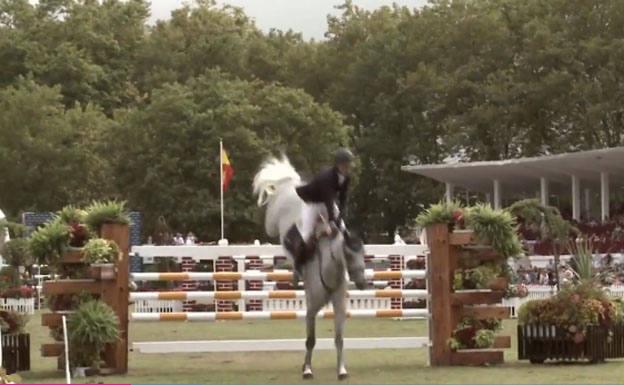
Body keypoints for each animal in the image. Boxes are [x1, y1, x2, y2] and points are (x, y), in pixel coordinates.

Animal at [254, 155, 368, 378]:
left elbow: (339, 338)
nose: (362, 283)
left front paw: (341, 370)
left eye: (363, 254)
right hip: (273, 222)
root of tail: (290, 185)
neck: (330, 268)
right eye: (349, 255)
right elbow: (310, 340)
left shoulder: (340, 306)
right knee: (272, 226)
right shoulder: (312, 308)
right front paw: (307, 370)